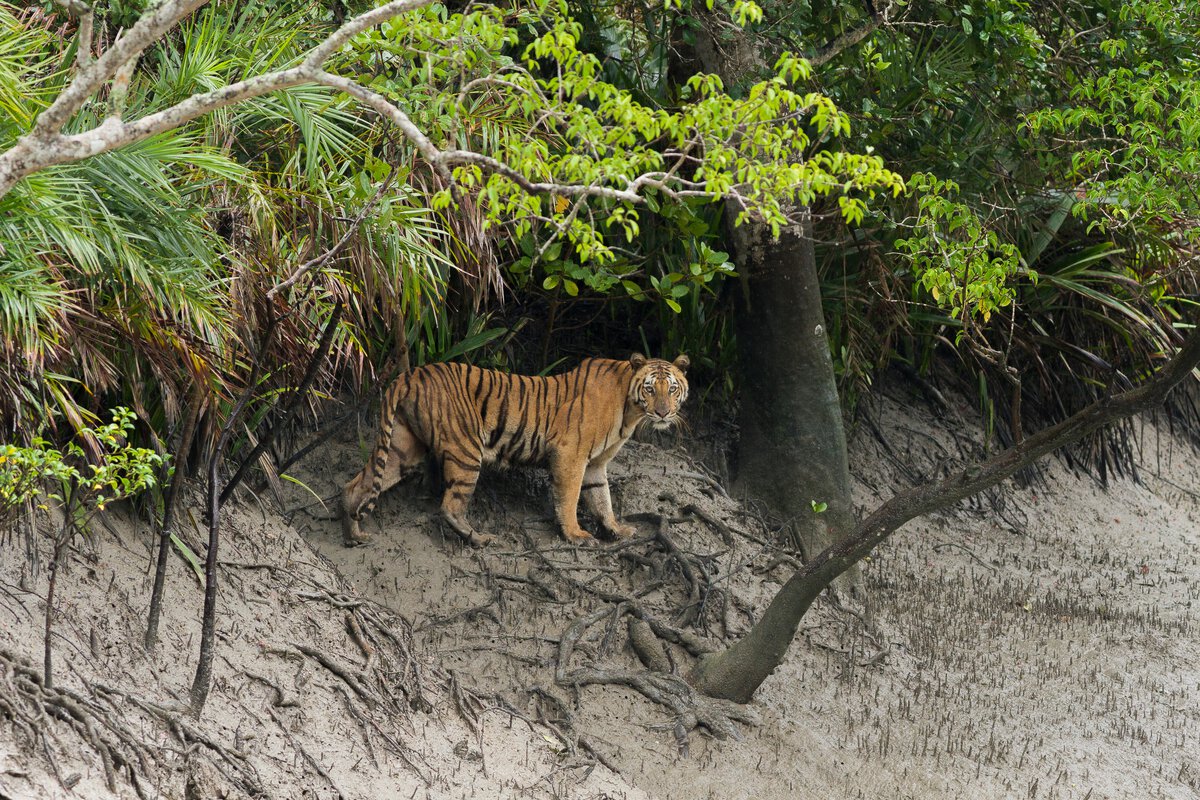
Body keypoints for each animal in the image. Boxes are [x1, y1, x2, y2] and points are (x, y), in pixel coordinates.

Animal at [343, 352, 691, 546]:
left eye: (672, 389)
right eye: (651, 388)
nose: (663, 413)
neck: (630, 410)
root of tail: (410, 374)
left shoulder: (595, 465)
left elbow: (601, 498)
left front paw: (616, 529)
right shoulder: (571, 455)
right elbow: (570, 497)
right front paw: (575, 535)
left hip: (403, 447)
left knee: (357, 484)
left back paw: (353, 532)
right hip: (467, 449)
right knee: (450, 505)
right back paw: (479, 539)